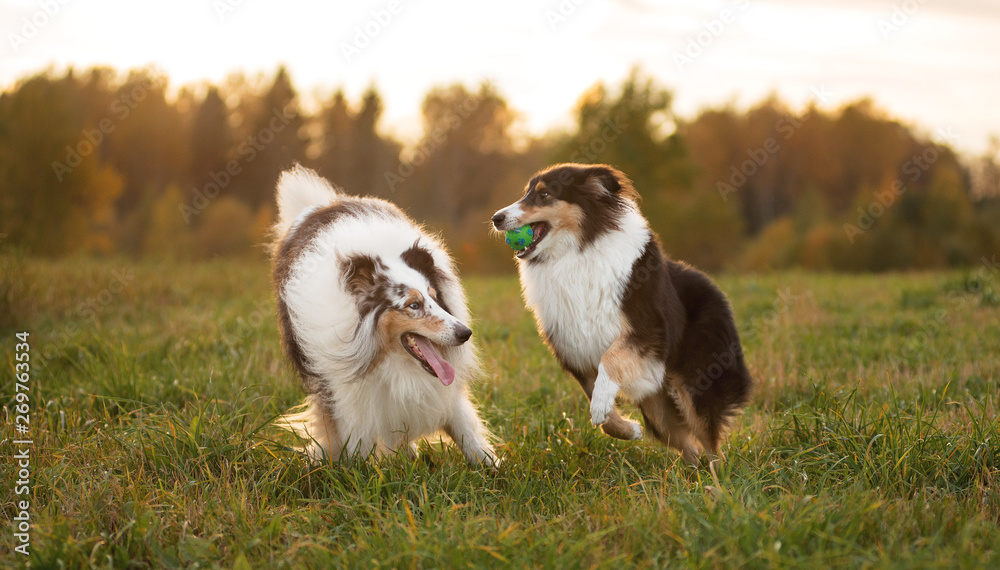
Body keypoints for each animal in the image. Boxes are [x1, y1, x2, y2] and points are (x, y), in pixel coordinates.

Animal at [272, 164, 498, 466]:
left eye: (435, 297)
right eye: (413, 305)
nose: (465, 333)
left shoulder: (441, 391)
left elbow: (464, 427)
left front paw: (492, 466)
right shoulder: (346, 393)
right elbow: (355, 440)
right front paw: (354, 469)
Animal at [492, 161, 752, 462]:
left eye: (544, 195)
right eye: (526, 193)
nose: (496, 218)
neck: (577, 251)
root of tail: (718, 292)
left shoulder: (647, 332)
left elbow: (611, 358)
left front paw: (602, 403)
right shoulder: (576, 350)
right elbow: (604, 419)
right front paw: (628, 428)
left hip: (695, 383)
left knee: (710, 444)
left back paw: (717, 474)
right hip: (658, 405)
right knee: (690, 446)